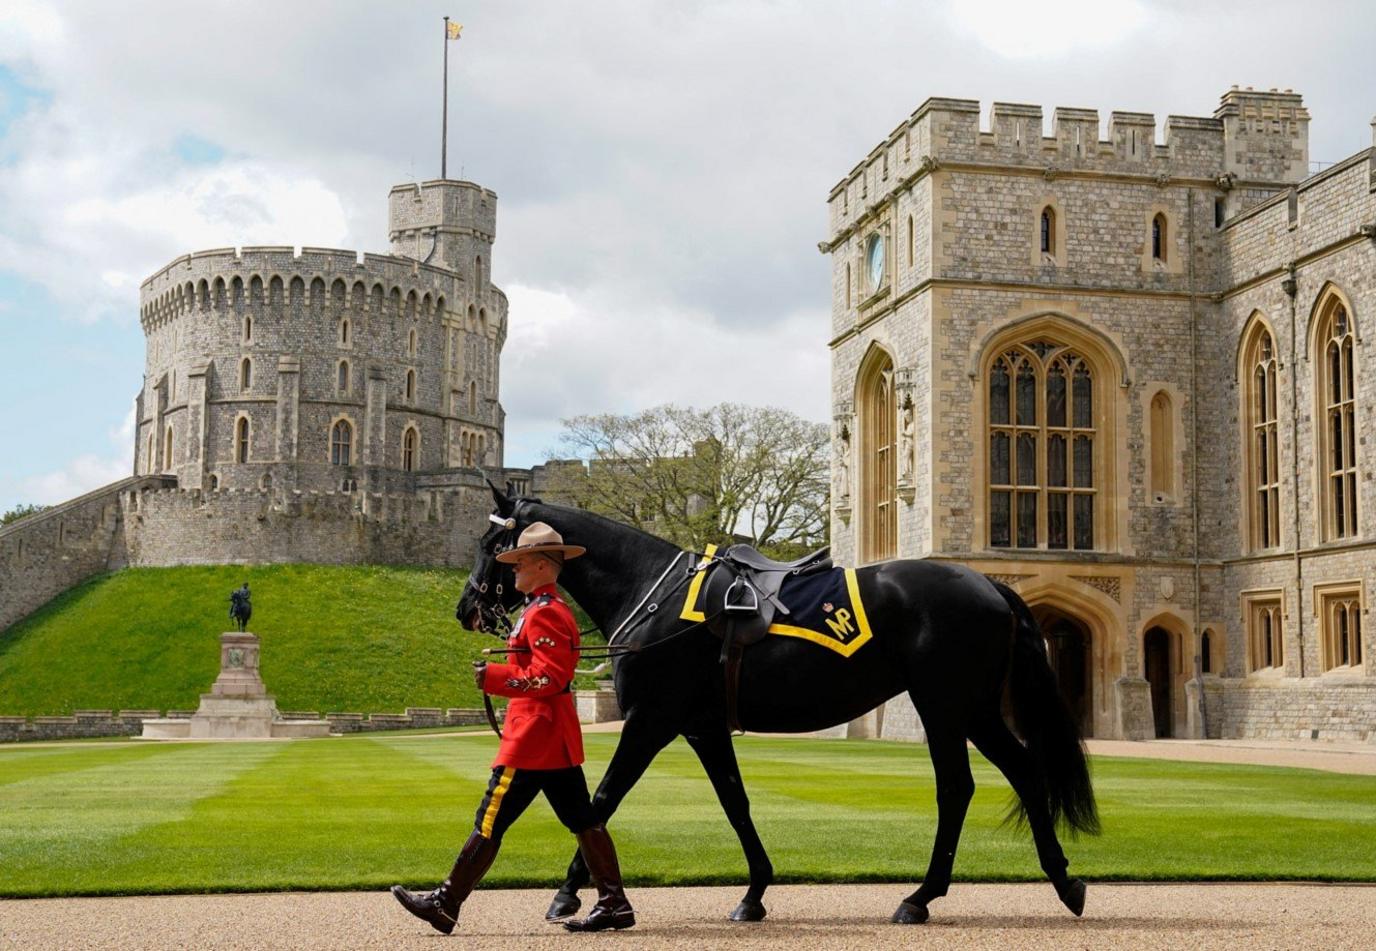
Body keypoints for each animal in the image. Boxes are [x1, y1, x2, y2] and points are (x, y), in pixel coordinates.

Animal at [456, 489, 1100, 924]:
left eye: (492, 544)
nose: (468, 608)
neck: (652, 593)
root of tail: (987, 583)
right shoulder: (703, 727)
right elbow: (736, 804)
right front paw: (755, 891)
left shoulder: (651, 720)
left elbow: (602, 799)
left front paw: (569, 892)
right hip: (973, 709)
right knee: (1023, 771)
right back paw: (1062, 881)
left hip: (944, 704)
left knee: (959, 787)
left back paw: (922, 897)